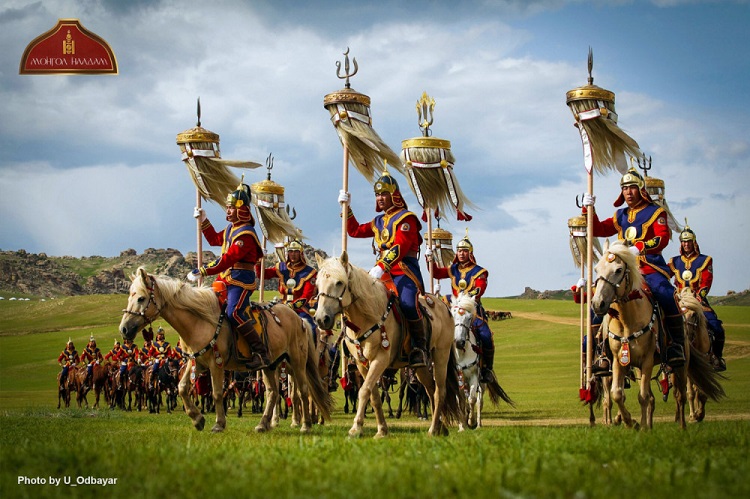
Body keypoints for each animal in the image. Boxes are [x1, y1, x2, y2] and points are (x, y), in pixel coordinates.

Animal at [119, 268, 334, 436]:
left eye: (141, 298)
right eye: (129, 296)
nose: (124, 329)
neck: (199, 320)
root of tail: (300, 319)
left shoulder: (217, 363)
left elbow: (216, 393)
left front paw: (218, 424)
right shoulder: (196, 362)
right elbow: (182, 387)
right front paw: (197, 419)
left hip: (296, 361)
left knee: (303, 390)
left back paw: (305, 425)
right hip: (269, 364)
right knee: (272, 392)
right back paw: (263, 424)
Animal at [312, 254, 464, 438]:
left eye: (339, 282)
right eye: (317, 284)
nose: (321, 319)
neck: (366, 316)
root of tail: (444, 307)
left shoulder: (381, 359)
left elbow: (364, 390)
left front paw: (356, 428)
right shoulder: (362, 364)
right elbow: (374, 396)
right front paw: (382, 429)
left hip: (441, 355)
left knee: (439, 391)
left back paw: (433, 428)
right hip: (420, 366)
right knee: (430, 388)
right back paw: (440, 427)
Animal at [450, 292, 516, 430]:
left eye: (469, 318)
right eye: (452, 317)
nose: (459, 342)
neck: (462, 353)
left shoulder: (475, 376)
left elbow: (472, 399)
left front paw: (471, 421)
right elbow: (460, 400)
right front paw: (461, 426)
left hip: (482, 383)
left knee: (479, 401)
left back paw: (478, 424)